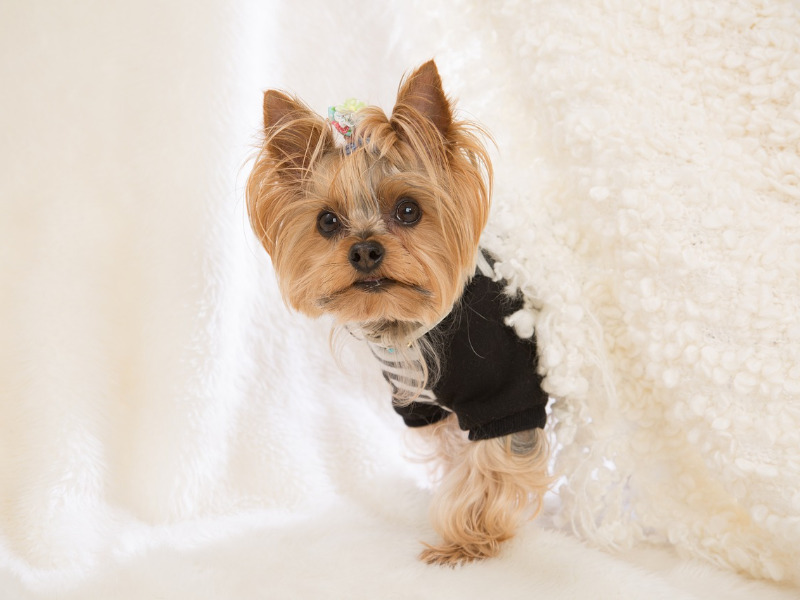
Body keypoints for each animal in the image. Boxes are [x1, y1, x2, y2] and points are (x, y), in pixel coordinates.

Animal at [247, 58, 552, 564]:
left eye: (409, 210)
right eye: (326, 221)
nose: (365, 250)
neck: (414, 323)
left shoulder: (507, 391)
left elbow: (488, 467)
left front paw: (466, 543)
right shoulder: (426, 403)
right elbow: (460, 456)